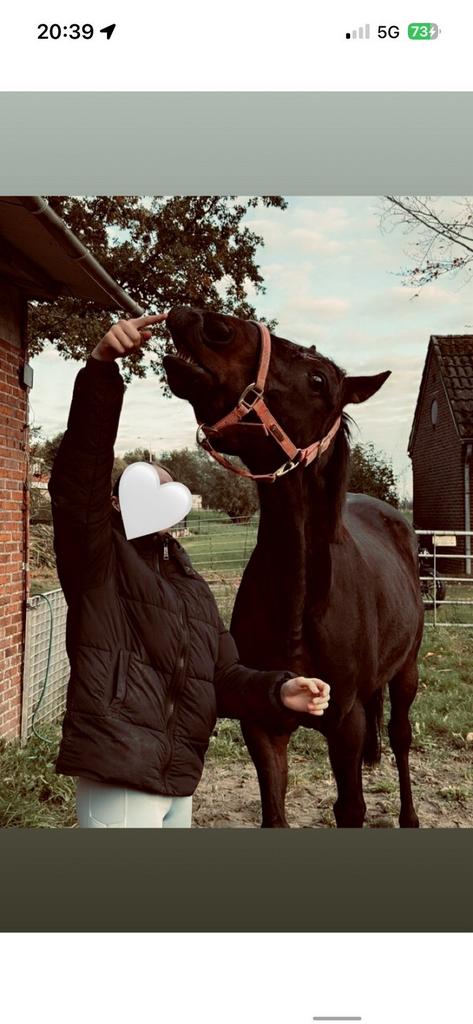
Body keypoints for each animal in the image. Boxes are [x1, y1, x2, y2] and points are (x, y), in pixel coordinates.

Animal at [164, 306, 424, 828]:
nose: (207, 324)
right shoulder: (263, 724)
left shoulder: (345, 725)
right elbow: (274, 812)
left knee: (402, 736)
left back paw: (409, 816)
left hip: (407, 671)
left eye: (318, 379)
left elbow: (351, 807)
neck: (301, 609)